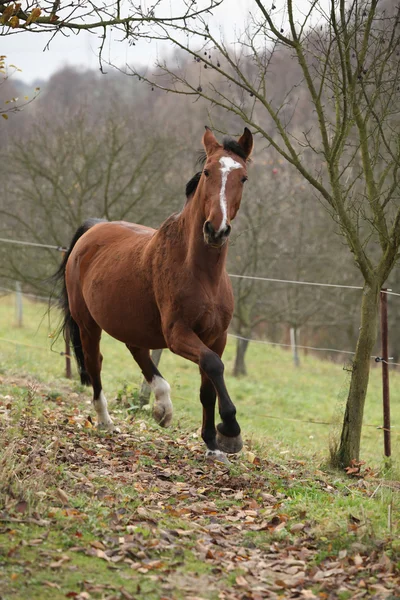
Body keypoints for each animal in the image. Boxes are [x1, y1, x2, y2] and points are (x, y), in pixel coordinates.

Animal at [55, 126, 253, 462]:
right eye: (207, 172)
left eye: (243, 178)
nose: (216, 230)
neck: (201, 273)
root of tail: (94, 229)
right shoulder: (177, 334)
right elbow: (213, 365)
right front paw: (230, 432)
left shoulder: (217, 336)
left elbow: (208, 385)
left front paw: (213, 444)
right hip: (87, 324)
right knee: (95, 362)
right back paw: (106, 421)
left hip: (131, 321)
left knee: (138, 351)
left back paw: (162, 405)